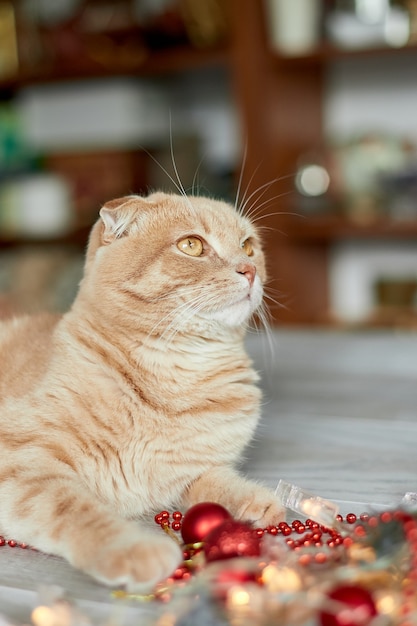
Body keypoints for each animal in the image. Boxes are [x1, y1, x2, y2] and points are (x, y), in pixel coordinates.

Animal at [0, 191, 284, 588]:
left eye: (248, 246)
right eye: (192, 245)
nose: (249, 269)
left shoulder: (187, 473)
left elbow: (217, 481)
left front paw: (254, 501)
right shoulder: (23, 468)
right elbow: (77, 510)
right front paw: (135, 549)